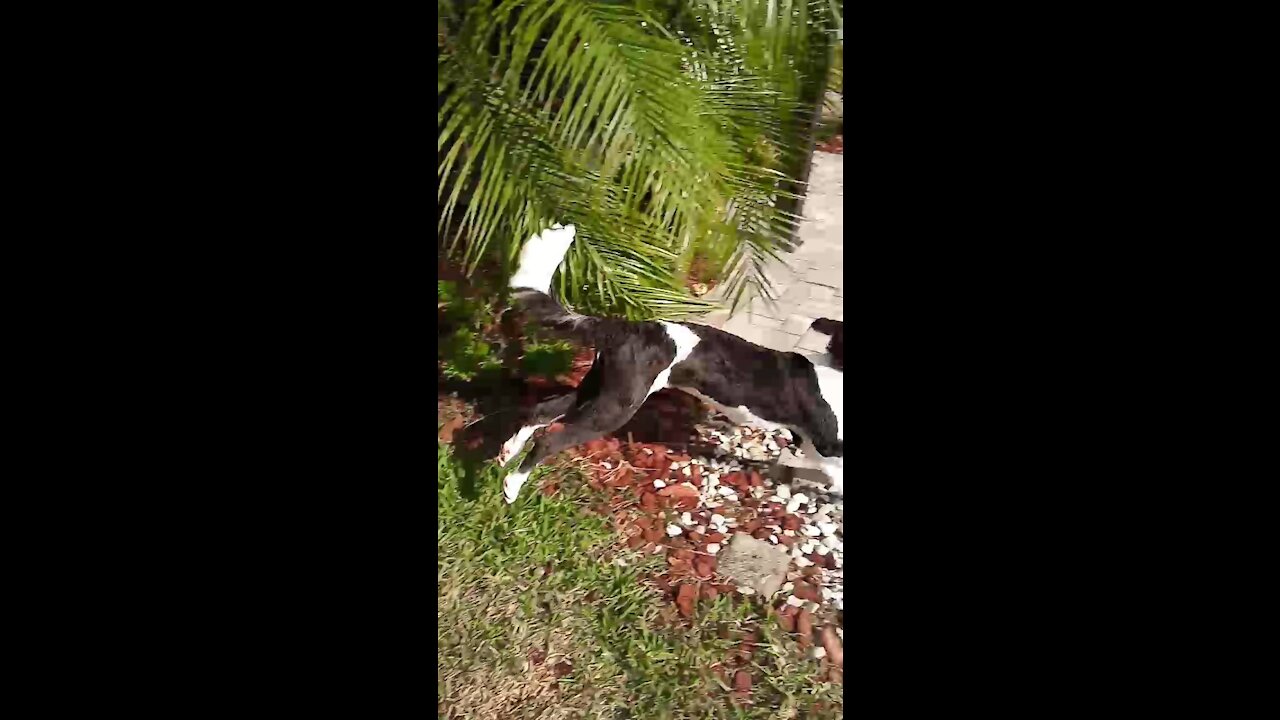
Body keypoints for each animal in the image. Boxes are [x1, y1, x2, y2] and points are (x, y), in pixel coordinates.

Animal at [501, 222, 849, 499]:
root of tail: (626, 327)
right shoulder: (829, 447)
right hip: (615, 408)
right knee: (550, 439)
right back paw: (512, 486)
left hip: (601, 389)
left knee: (542, 410)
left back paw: (507, 453)